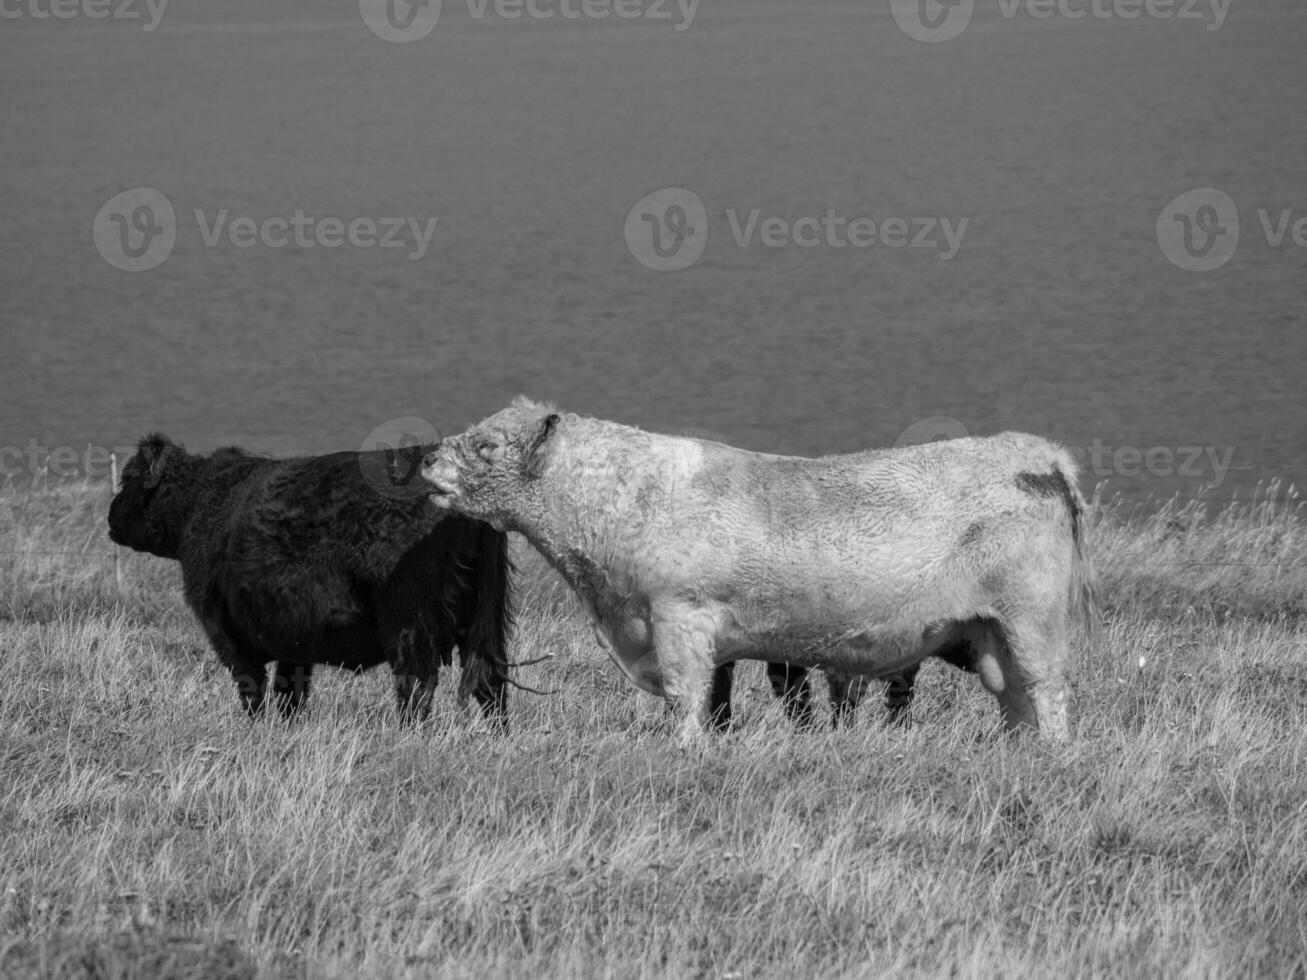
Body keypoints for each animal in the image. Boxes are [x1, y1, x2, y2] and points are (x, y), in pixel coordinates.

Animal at [105, 433, 509, 726]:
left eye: (128, 479)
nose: (110, 515)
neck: (202, 504)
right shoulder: (292, 639)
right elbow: (290, 693)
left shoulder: (225, 631)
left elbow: (253, 690)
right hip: (484, 623)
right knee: (491, 683)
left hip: (409, 625)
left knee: (417, 685)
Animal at [420, 399, 1092, 742]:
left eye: (487, 446)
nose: (424, 458)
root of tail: (1039, 452)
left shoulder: (678, 617)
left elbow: (686, 696)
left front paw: (686, 752)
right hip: (990, 633)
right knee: (1014, 699)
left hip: (1032, 621)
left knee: (1048, 692)